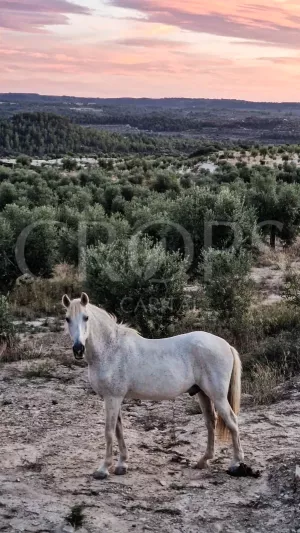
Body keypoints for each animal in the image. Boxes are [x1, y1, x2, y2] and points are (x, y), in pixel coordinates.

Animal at [62, 294, 244, 480]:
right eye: (67, 318)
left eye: (86, 317)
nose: (78, 349)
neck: (110, 349)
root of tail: (226, 344)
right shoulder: (115, 398)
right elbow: (119, 430)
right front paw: (122, 464)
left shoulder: (112, 398)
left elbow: (109, 432)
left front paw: (103, 468)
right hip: (203, 394)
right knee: (210, 422)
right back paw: (203, 461)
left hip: (217, 396)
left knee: (232, 421)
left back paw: (236, 463)